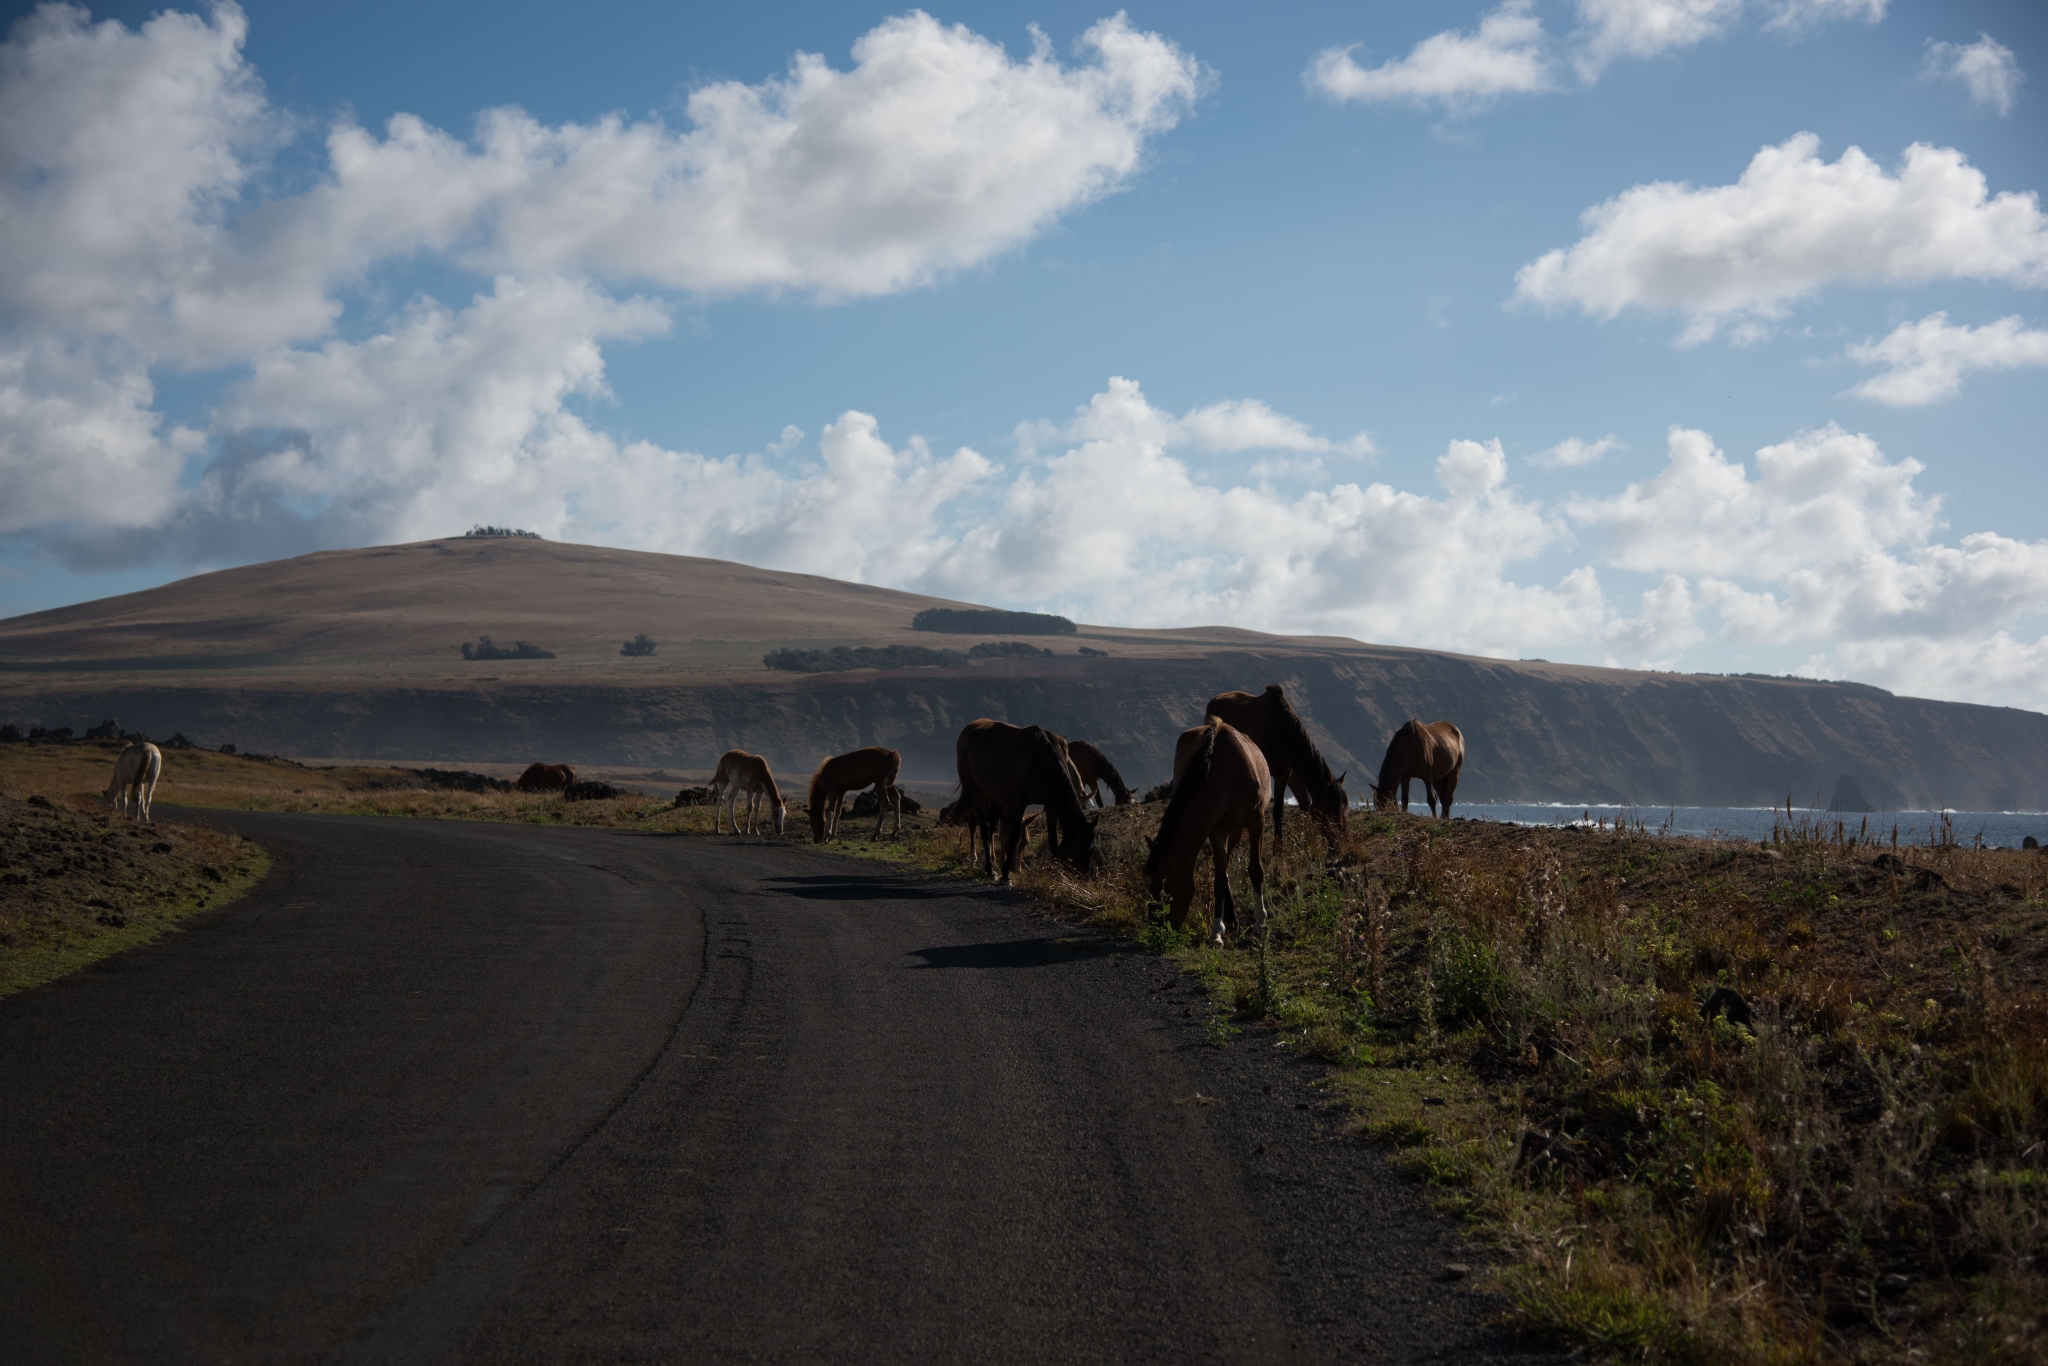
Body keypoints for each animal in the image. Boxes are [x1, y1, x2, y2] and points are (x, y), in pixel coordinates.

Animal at [954, 720, 1097, 880]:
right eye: (1080, 846)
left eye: (1092, 850)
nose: (1086, 876)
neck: (1043, 761)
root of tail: (970, 735)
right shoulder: (1020, 801)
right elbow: (1014, 835)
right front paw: (1005, 875)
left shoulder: (1050, 804)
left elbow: (1053, 839)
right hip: (976, 791)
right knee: (983, 827)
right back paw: (989, 869)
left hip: (997, 798)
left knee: (990, 824)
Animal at [1146, 720, 1269, 946]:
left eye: (1160, 886)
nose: (1154, 928)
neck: (1227, 773)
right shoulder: (1216, 826)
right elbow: (1219, 879)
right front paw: (1216, 932)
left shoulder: (1256, 820)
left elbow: (1256, 871)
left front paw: (1260, 924)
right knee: (1225, 869)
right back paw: (1231, 920)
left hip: (1238, 829)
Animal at [1196, 684, 1343, 843]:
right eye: (1328, 812)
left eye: (1343, 808)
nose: (1339, 841)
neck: (1277, 730)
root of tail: (1214, 701)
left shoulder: (1283, 774)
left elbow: (1278, 812)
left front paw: (1278, 847)